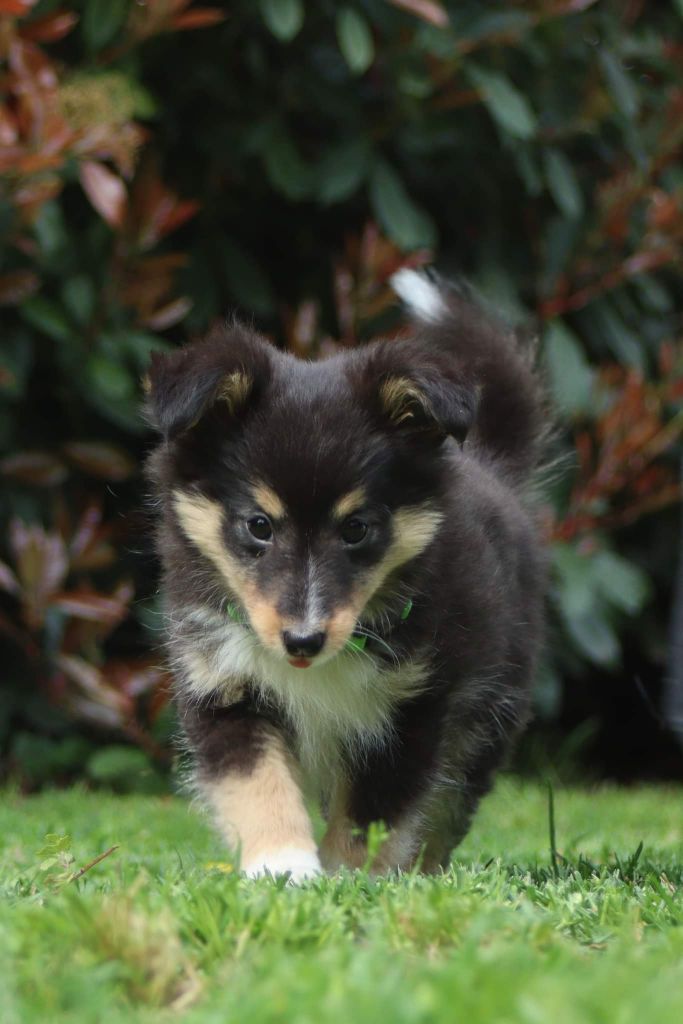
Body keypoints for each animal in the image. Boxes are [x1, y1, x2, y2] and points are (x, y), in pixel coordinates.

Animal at [147, 270, 548, 880]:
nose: (303, 641)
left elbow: (373, 814)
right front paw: (283, 866)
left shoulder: (411, 707)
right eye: (258, 525)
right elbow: (257, 783)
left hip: (486, 717)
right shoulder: (222, 686)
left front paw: (348, 880)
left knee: (447, 807)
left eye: (356, 528)